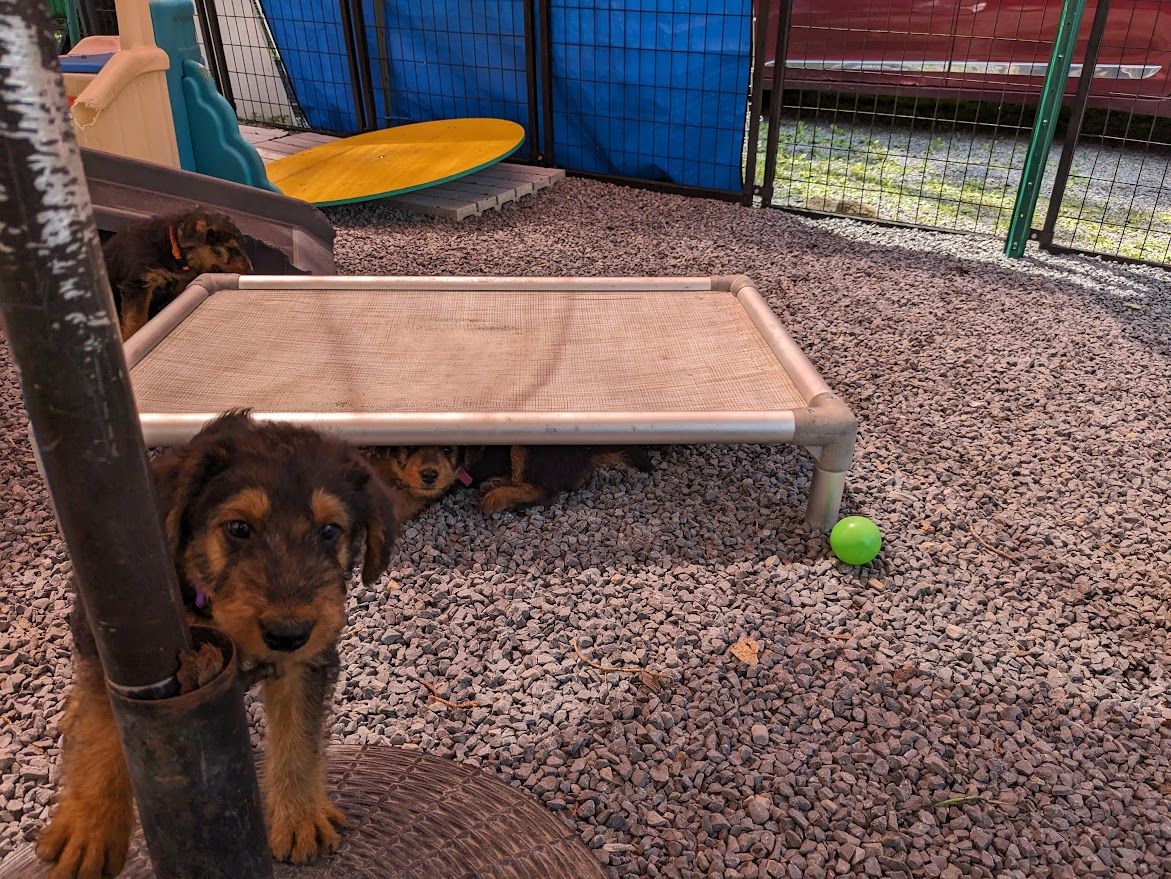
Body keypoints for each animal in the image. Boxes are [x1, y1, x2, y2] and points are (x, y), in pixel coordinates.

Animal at [36, 411, 397, 877]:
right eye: (239, 528)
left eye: (330, 531)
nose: (288, 634)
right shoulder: (123, 646)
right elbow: (102, 727)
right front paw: (89, 828)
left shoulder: (307, 661)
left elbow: (298, 736)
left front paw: (300, 816)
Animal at [102, 209, 252, 340]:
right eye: (232, 248)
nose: (251, 270)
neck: (173, 250)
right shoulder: (138, 284)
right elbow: (136, 322)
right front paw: (131, 337)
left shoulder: (177, 287)